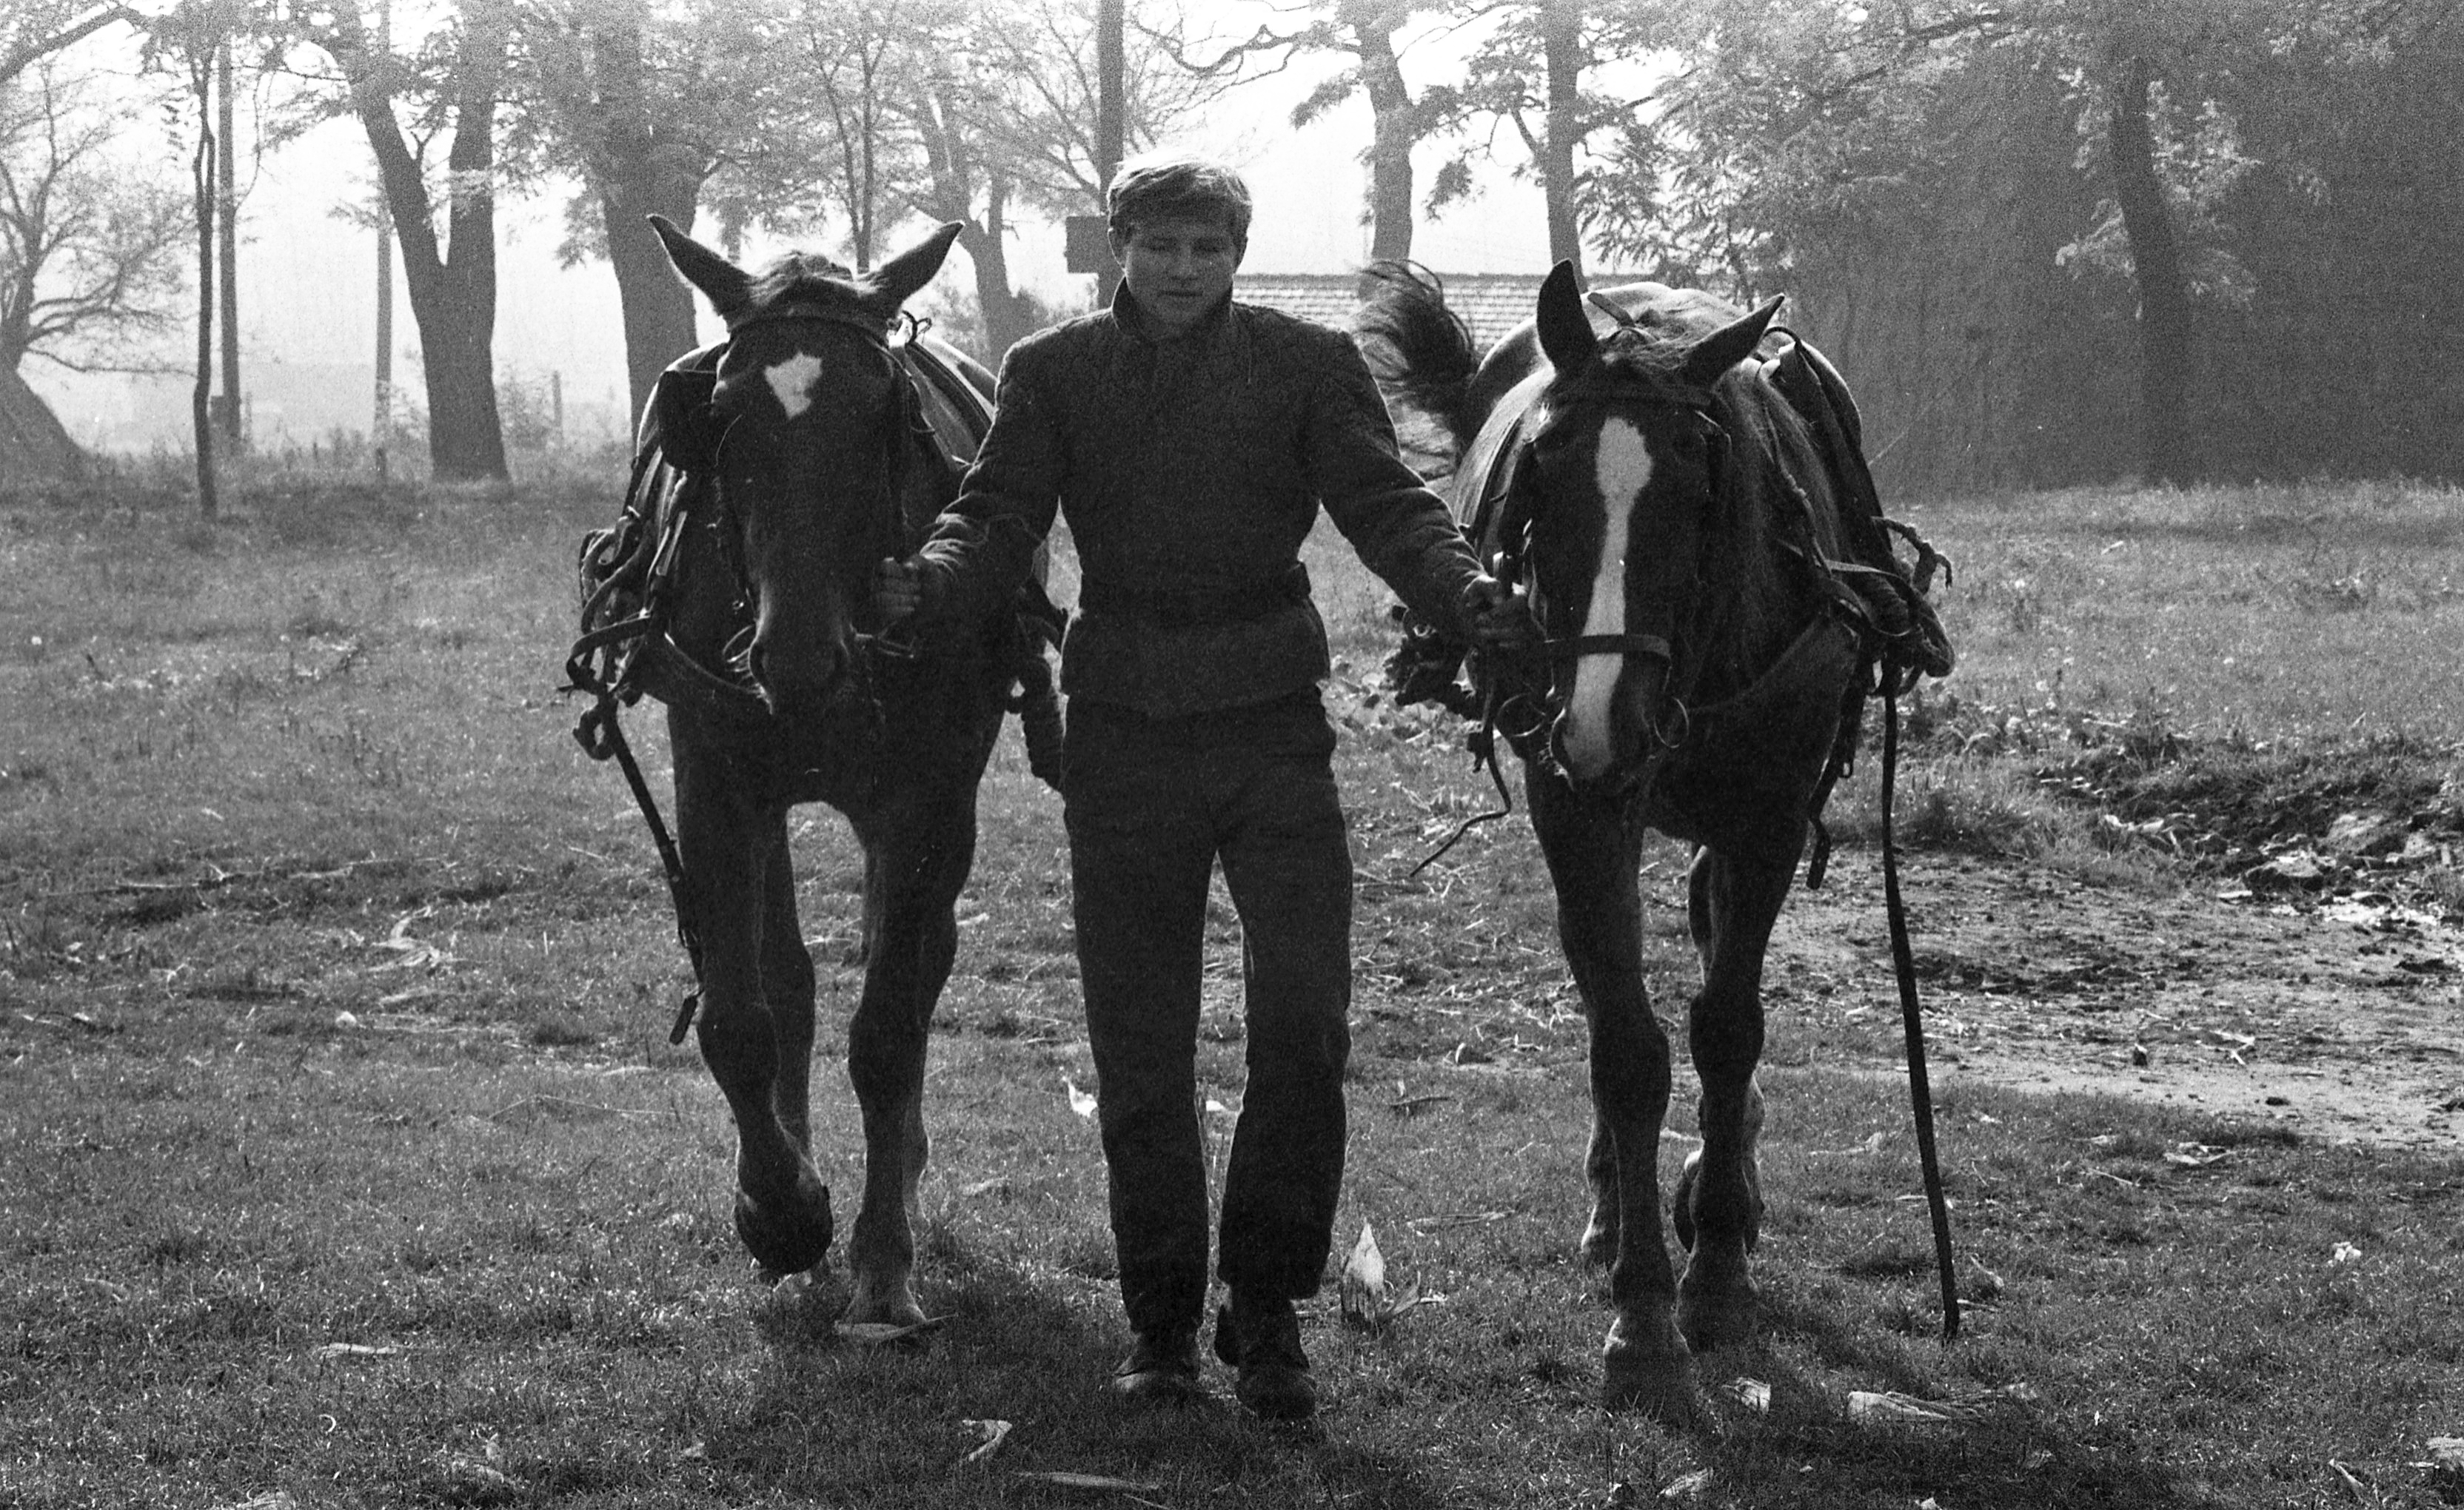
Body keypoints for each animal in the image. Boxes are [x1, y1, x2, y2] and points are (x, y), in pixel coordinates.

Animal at [564, 218, 1049, 1320]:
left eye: (881, 410)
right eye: (721, 413)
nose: (796, 659)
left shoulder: (924, 803)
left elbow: (889, 1027)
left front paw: (882, 1259)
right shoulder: (719, 780)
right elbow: (745, 1016)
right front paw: (781, 1211)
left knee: (917, 968)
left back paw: (898, 1178)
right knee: (790, 979)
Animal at [1370, 256, 1941, 1409]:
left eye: (1701, 485)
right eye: (1540, 473)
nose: (1604, 719)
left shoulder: (1767, 815)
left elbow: (1728, 1029)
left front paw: (1716, 1264)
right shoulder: (1580, 803)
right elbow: (1626, 1047)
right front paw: (1640, 1308)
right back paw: (1611, 1207)